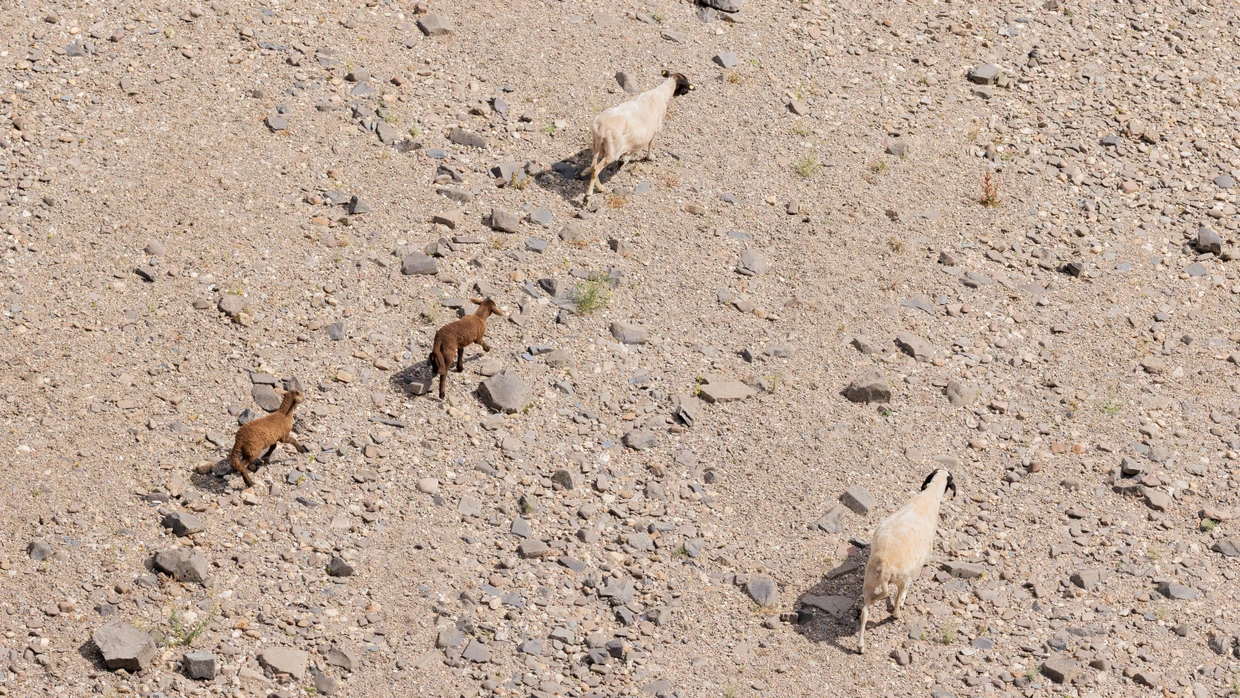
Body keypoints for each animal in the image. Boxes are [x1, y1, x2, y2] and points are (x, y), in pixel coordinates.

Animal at [583, 70, 694, 205]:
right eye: (686, 84)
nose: (687, 92)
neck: (661, 93)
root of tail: (601, 128)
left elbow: (635, 148)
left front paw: (624, 160)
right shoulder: (654, 129)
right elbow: (648, 145)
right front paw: (649, 157)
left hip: (597, 146)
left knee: (594, 166)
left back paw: (600, 188)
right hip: (612, 151)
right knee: (596, 169)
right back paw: (588, 196)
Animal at [858, 469, 957, 654]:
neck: (929, 496)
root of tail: (884, 566)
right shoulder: (913, 572)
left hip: (869, 580)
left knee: (865, 612)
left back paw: (860, 646)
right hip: (901, 579)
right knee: (896, 602)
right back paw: (897, 613)